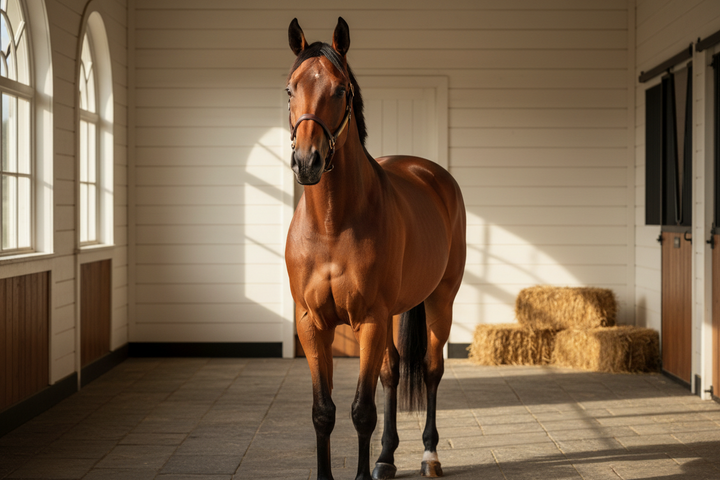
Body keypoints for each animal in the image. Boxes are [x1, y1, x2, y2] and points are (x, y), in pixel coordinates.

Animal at [284, 17, 466, 480]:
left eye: (340, 89)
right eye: (290, 89)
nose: (307, 162)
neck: (332, 224)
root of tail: (430, 172)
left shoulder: (369, 319)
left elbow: (361, 411)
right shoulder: (312, 323)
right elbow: (324, 411)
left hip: (439, 300)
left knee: (431, 369)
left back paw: (429, 455)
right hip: (394, 314)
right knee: (392, 372)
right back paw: (386, 457)